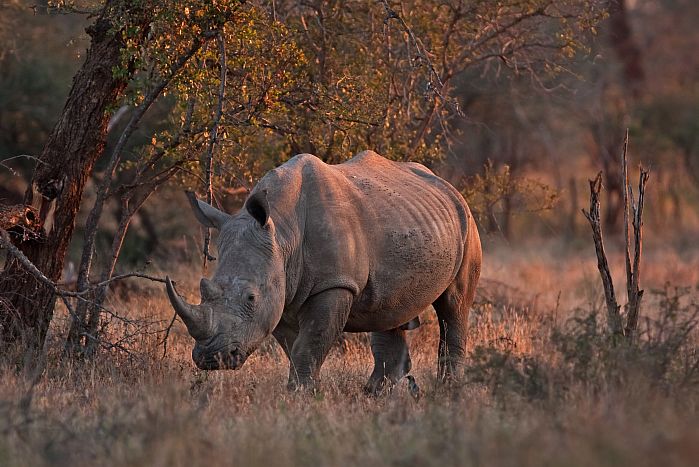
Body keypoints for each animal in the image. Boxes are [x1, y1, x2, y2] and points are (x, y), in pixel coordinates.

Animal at [166, 151, 481, 393]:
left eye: (251, 298)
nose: (210, 358)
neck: (283, 233)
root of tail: (448, 186)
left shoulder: (334, 284)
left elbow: (310, 343)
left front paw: (301, 395)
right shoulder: (280, 290)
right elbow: (295, 347)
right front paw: (307, 392)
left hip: (467, 223)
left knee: (454, 306)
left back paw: (447, 391)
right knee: (390, 310)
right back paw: (375, 394)